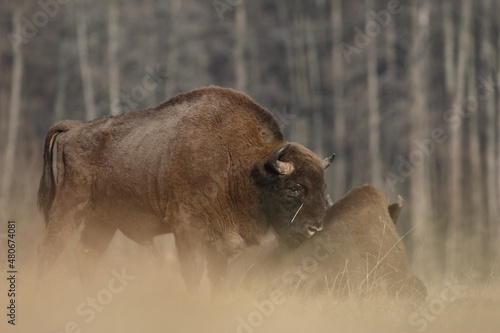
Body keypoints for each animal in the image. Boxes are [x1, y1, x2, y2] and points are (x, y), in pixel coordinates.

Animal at [37, 85, 334, 290]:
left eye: (323, 187)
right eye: (294, 188)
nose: (315, 227)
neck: (245, 165)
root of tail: (75, 128)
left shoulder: (221, 239)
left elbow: (218, 278)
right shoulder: (187, 228)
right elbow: (194, 272)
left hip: (103, 221)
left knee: (86, 254)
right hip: (69, 207)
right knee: (51, 249)